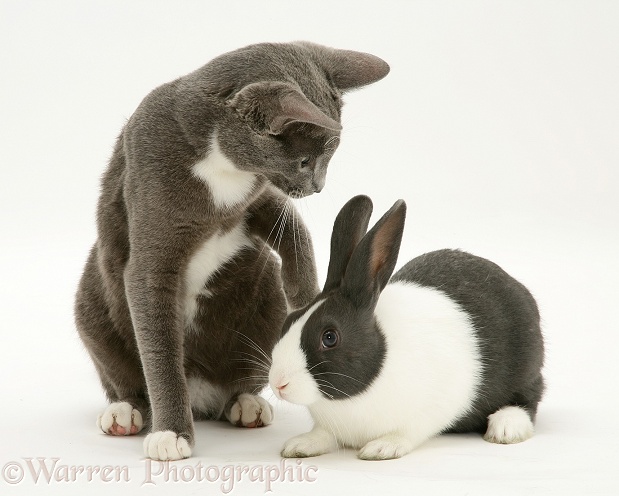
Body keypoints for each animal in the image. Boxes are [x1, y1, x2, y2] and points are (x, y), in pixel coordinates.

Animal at [75, 41, 390, 462]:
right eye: (305, 160)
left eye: (330, 157)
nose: (319, 186)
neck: (219, 166)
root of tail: (201, 396)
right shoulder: (148, 203)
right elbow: (157, 341)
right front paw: (170, 433)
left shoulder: (261, 196)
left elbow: (294, 229)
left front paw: (309, 299)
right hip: (92, 301)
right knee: (121, 375)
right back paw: (124, 412)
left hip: (265, 297)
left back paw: (245, 403)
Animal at [268, 196, 544, 460]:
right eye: (289, 322)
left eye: (329, 337)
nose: (278, 383)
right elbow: (323, 434)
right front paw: (300, 445)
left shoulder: (431, 408)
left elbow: (405, 433)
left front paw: (382, 448)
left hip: (526, 366)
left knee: (530, 397)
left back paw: (506, 427)